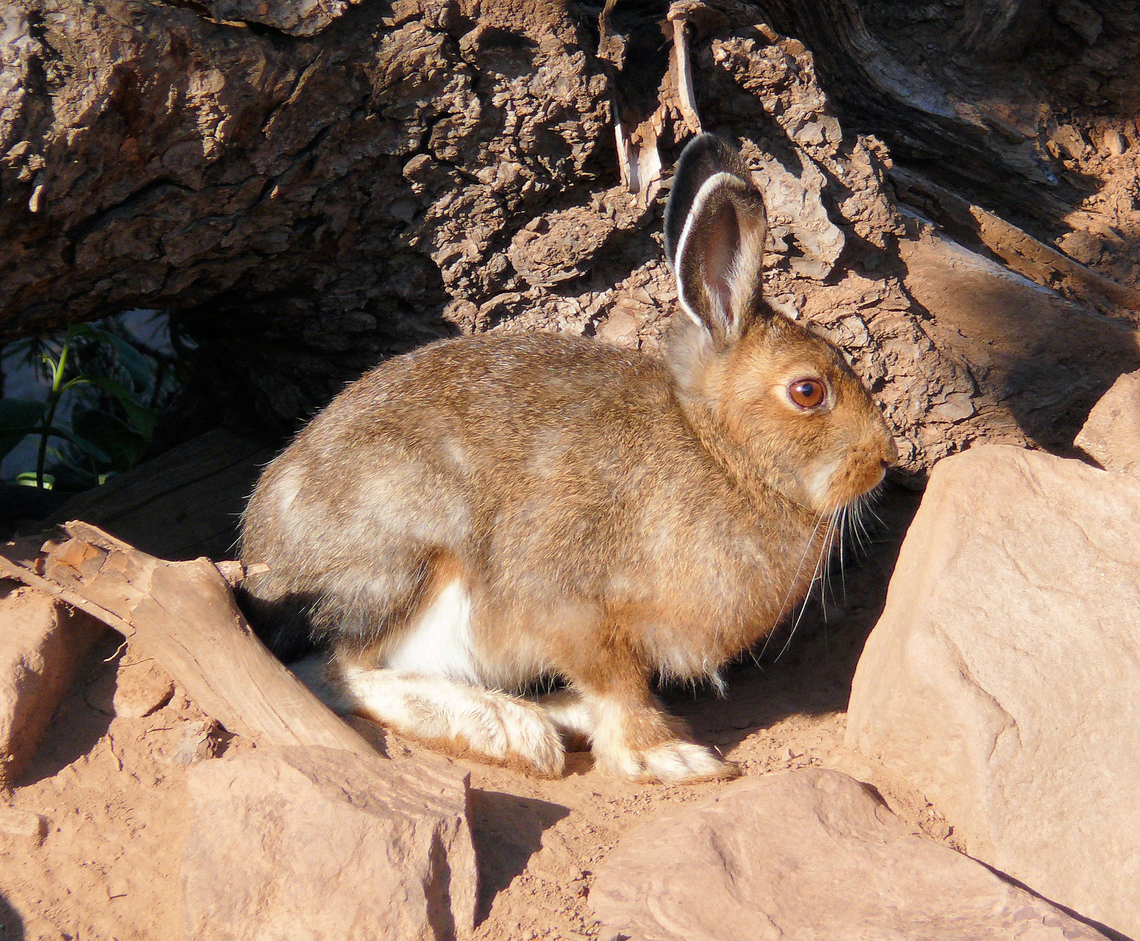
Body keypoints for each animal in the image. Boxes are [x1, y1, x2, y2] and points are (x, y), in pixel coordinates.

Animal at [239, 133, 898, 784]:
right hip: (403, 561)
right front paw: (669, 757)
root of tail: (259, 552)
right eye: (808, 391)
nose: (885, 459)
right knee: (331, 671)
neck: (718, 453)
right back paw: (511, 731)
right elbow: (619, 688)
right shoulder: (575, 614)